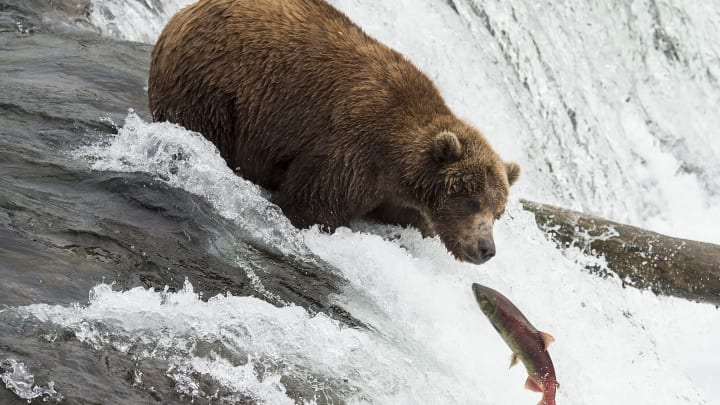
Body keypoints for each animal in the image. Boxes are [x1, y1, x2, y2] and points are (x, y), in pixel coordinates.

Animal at [149, 0, 516, 264]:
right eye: (471, 201)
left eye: (497, 212)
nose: (487, 249)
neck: (397, 163)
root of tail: (183, 13)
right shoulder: (353, 150)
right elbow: (314, 204)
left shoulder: (398, 198)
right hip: (216, 85)